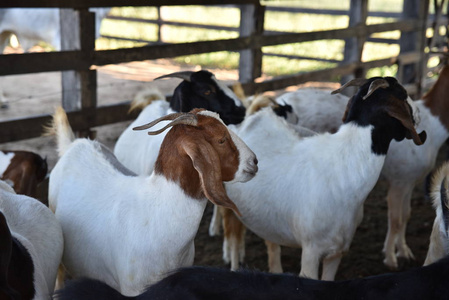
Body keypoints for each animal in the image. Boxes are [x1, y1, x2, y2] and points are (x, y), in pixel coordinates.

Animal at [215, 77, 426, 278]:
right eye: (403, 94)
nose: (418, 114)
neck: (346, 167)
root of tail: (254, 117)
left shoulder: (337, 252)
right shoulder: (311, 251)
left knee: (271, 244)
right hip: (230, 208)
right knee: (233, 238)